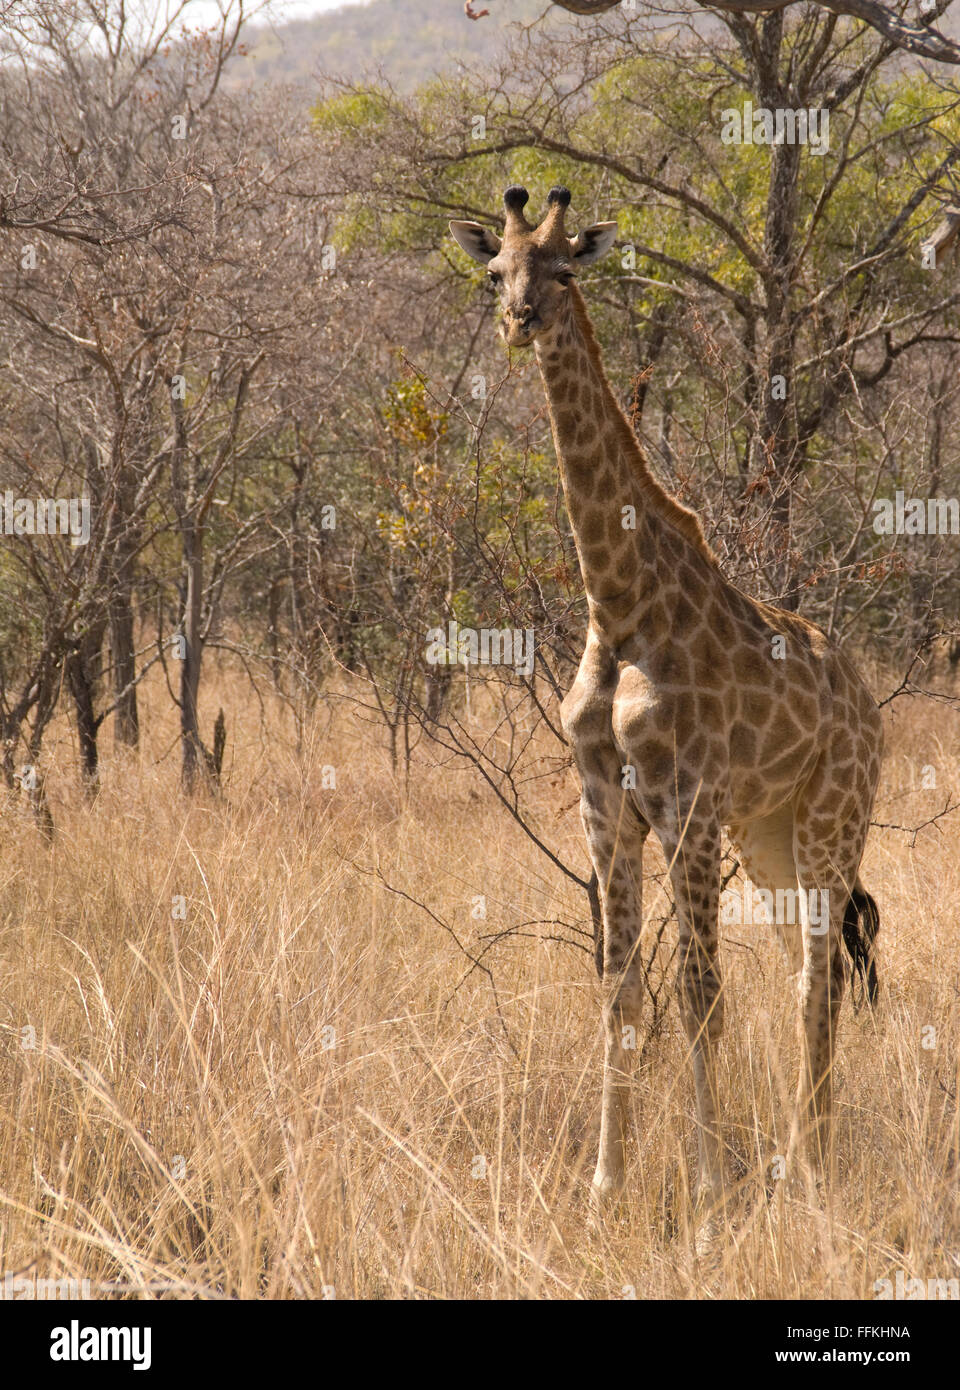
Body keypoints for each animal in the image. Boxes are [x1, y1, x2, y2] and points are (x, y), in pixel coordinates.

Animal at [450, 187, 883, 1217]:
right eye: (497, 271)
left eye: (566, 270)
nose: (517, 320)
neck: (619, 602)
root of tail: (869, 702)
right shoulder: (604, 804)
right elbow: (620, 993)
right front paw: (605, 1187)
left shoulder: (687, 802)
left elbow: (700, 996)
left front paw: (711, 1190)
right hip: (769, 840)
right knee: (807, 972)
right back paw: (802, 1158)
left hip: (832, 821)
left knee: (819, 977)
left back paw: (808, 1170)